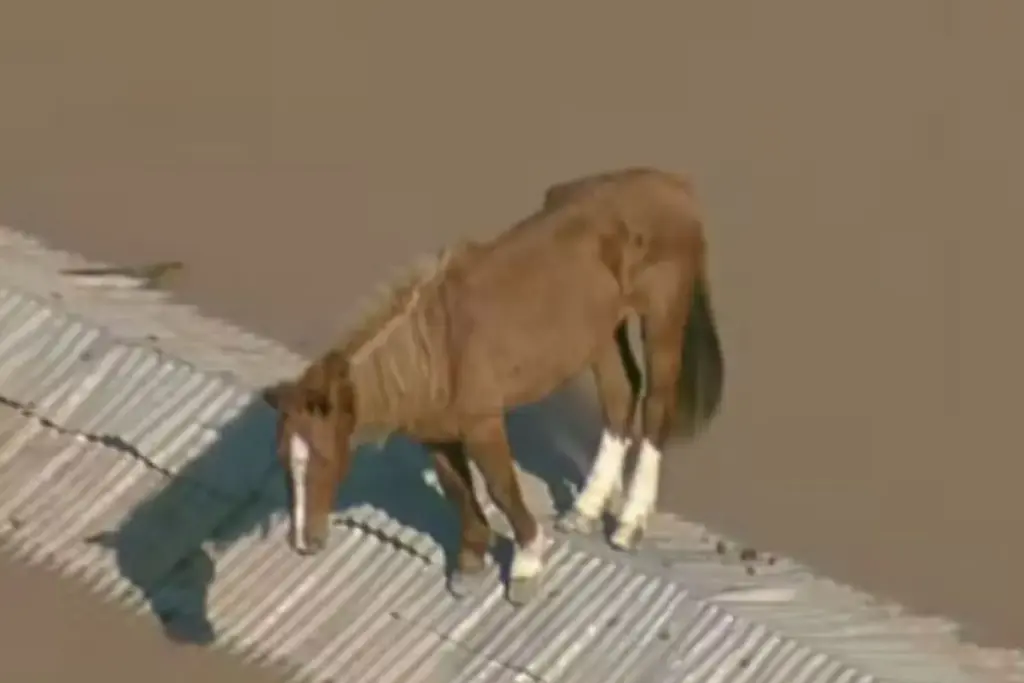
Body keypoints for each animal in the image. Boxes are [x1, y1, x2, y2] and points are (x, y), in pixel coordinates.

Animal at [262, 167, 725, 605]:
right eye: (283, 459)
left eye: (323, 457)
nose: (302, 542)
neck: (436, 352)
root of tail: (673, 184)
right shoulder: (436, 435)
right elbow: (457, 490)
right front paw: (469, 564)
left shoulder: (483, 425)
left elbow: (502, 489)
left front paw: (526, 565)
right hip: (601, 333)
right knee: (619, 396)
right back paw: (586, 509)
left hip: (662, 318)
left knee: (656, 405)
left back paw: (629, 524)